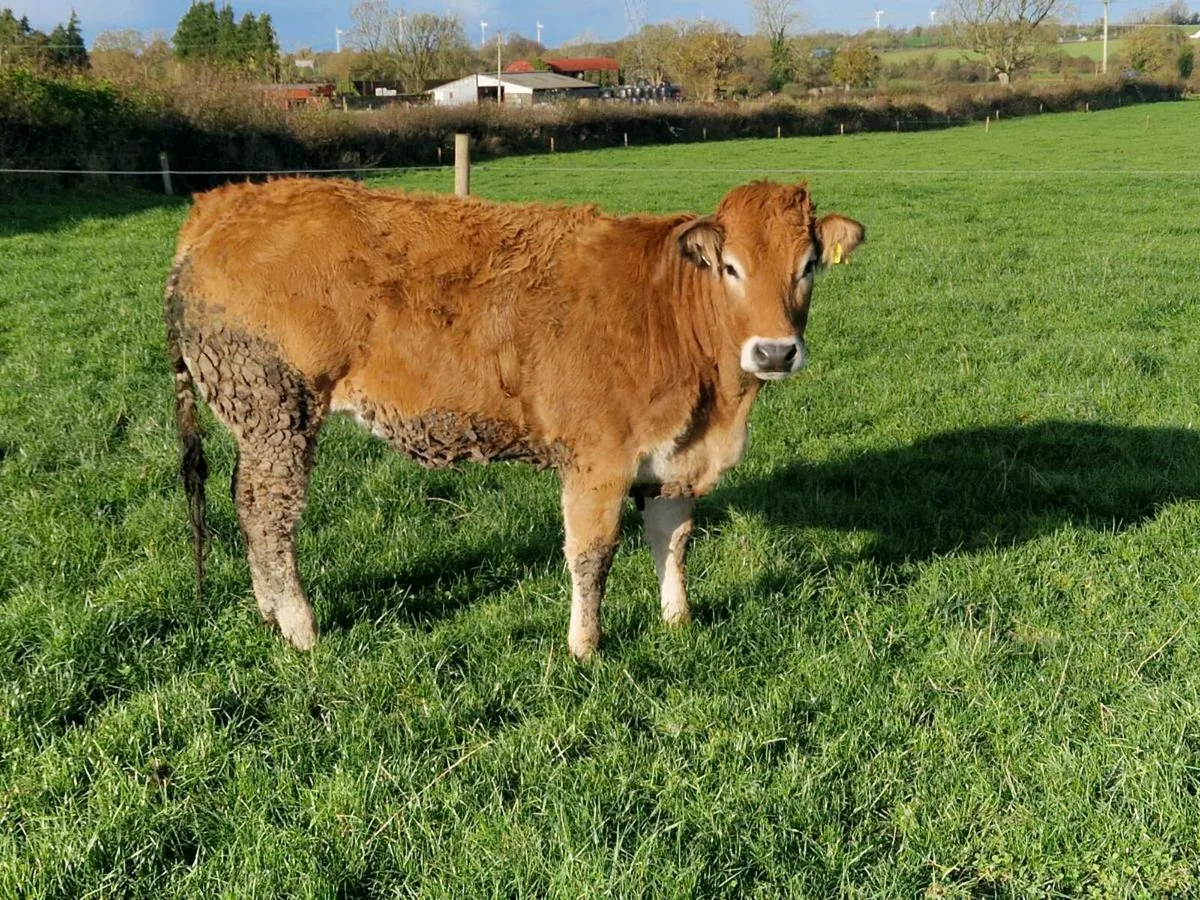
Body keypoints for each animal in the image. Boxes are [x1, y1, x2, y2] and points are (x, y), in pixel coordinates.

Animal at [165, 177, 864, 660]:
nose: (774, 352)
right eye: (730, 267)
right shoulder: (598, 457)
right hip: (278, 406)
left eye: (807, 266)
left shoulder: (671, 458)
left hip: (258, 419)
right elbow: (591, 554)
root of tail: (224, 203)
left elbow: (672, 540)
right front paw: (585, 647)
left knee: (245, 502)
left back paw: (268, 613)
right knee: (268, 514)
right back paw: (301, 627)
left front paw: (678, 620)